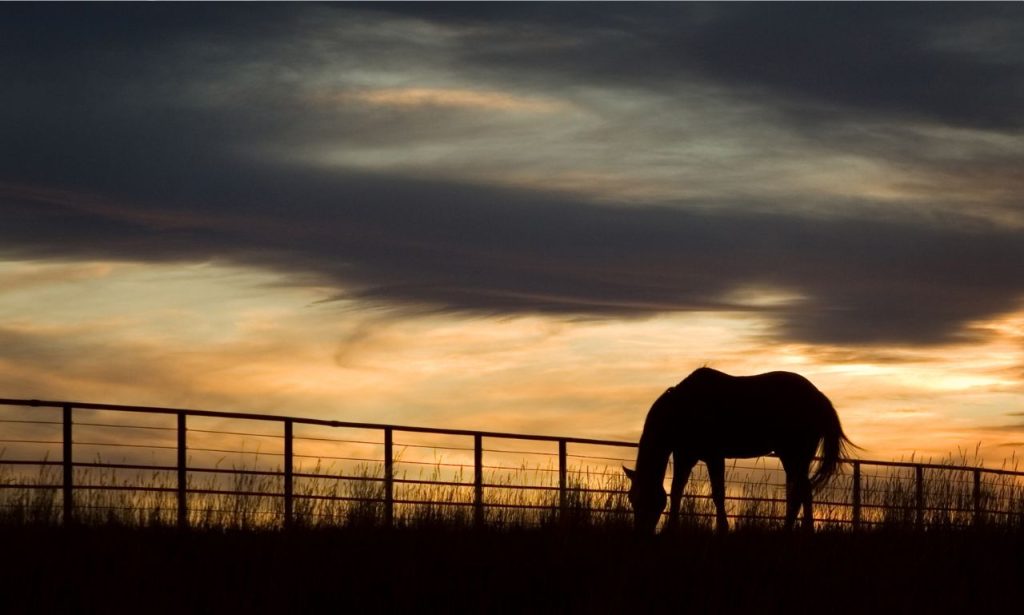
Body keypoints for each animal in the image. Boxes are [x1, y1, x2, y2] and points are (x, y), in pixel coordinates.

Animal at [622, 366, 856, 536]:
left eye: (646, 499)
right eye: (632, 499)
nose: (640, 533)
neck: (683, 409)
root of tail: (819, 397)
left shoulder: (713, 456)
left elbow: (718, 493)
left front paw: (722, 529)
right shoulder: (685, 455)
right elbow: (677, 490)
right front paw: (672, 528)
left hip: (795, 455)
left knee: (802, 490)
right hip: (793, 458)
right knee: (800, 491)